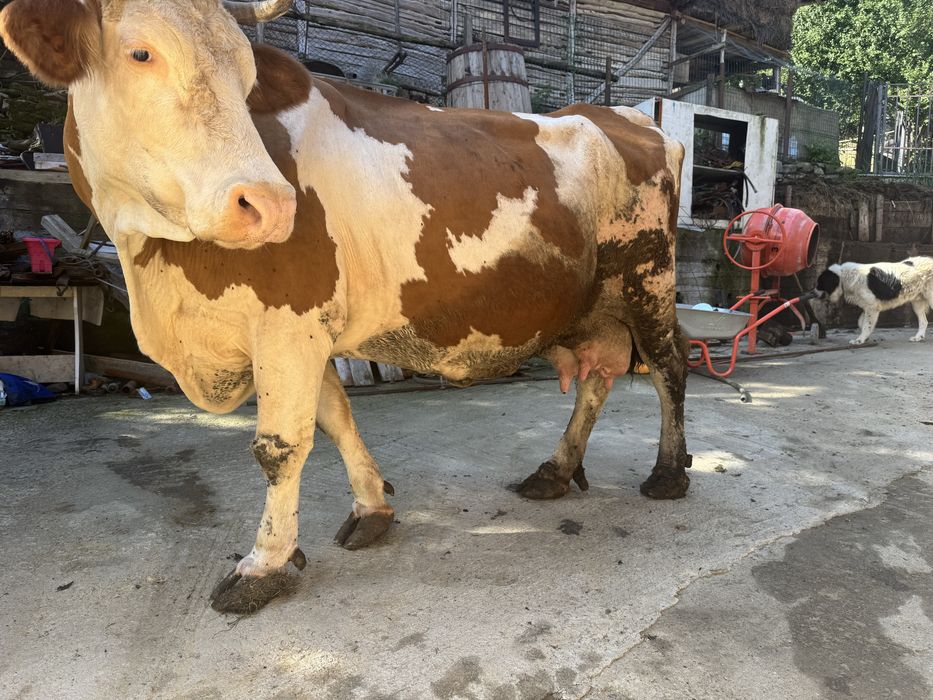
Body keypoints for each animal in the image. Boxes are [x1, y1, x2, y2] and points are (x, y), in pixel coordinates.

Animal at [0, 0, 691, 614]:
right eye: (140, 52)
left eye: (247, 76)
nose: (270, 203)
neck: (156, 267)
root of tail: (626, 116)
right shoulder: (307, 331)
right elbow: (335, 419)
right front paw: (372, 507)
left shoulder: (288, 323)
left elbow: (280, 445)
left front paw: (264, 565)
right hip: (594, 304)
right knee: (598, 379)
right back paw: (556, 470)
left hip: (648, 279)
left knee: (669, 369)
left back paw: (668, 473)